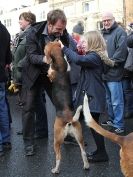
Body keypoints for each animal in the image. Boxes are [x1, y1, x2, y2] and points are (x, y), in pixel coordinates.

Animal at [44, 41, 89, 174]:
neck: (59, 64)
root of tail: (70, 119)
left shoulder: (50, 73)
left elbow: (49, 72)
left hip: (56, 140)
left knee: (59, 157)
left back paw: (55, 170)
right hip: (80, 137)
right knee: (83, 152)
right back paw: (86, 165)